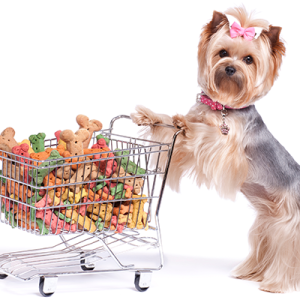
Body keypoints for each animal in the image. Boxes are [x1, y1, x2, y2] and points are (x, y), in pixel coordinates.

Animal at [131, 6, 298, 292]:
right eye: (222, 53)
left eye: (249, 59)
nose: (230, 67)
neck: (221, 106)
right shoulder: (183, 144)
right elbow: (168, 123)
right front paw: (149, 115)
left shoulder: (226, 147)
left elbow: (205, 133)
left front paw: (187, 125)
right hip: (268, 224)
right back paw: (249, 273)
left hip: (289, 226)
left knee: (287, 256)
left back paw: (274, 284)